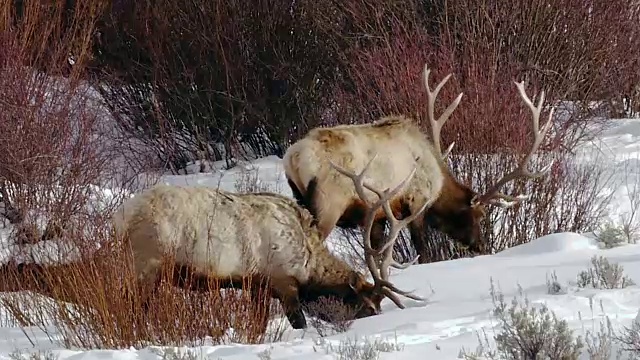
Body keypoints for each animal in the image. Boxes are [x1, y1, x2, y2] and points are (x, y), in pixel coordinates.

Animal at [111, 184, 424, 330]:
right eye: (368, 305)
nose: (378, 320)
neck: (308, 263)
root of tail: (120, 218)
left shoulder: (257, 285)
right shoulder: (283, 282)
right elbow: (299, 322)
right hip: (147, 264)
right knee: (130, 306)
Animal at [282, 63, 552, 262]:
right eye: (480, 214)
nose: (482, 246)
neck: (437, 179)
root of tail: (293, 158)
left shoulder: (377, 214)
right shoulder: (416, 202)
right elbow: (421, 250)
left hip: (302, 199)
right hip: (329, 202)